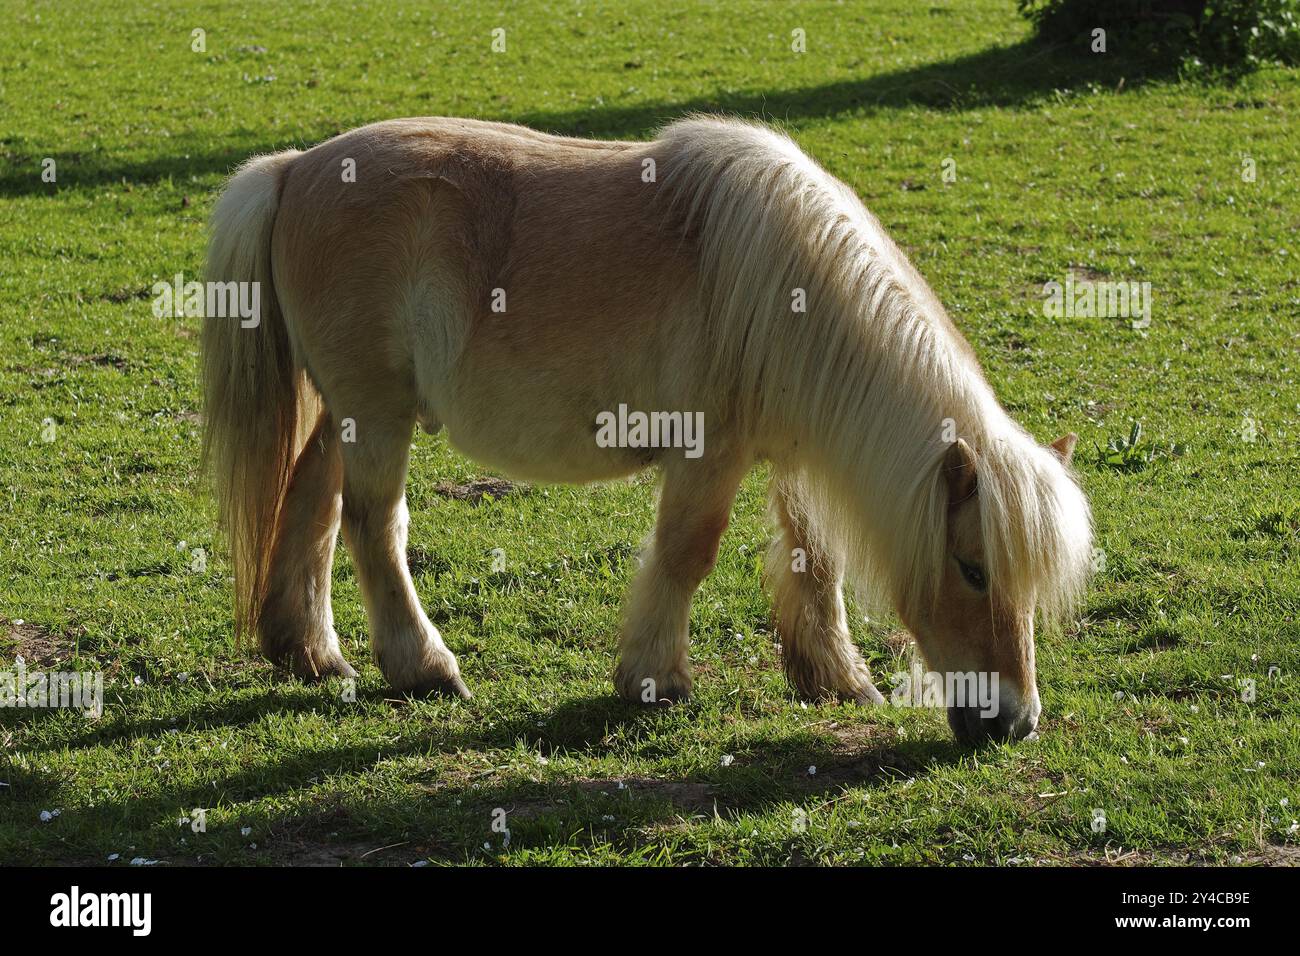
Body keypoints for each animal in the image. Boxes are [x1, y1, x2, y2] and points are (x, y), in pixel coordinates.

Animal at [202, 115, 1092, 749]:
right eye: (973, 569)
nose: (1015, 723)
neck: (786, 286)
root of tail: (293, 169)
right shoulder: (709, 454)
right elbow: (687, 553)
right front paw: (654, 679)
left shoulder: (791, 456)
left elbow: (817, 559)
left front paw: (837, 679)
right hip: (377, 416)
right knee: (373, 527)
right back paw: (423, 668)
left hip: (347, 415)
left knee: (312, 505)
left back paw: (309, 652)